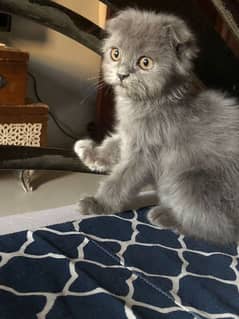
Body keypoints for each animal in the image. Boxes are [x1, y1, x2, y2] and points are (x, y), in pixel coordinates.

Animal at [74, 8, 239, 245]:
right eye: (116, 54)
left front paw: (97, 204)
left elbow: (120, 180)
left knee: (221, 230)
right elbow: (114, 144)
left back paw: (167, 217)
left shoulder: (146, 154)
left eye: (145, 63)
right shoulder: (131, 134)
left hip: (188, 181)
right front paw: (91, 154)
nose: (122, 74)